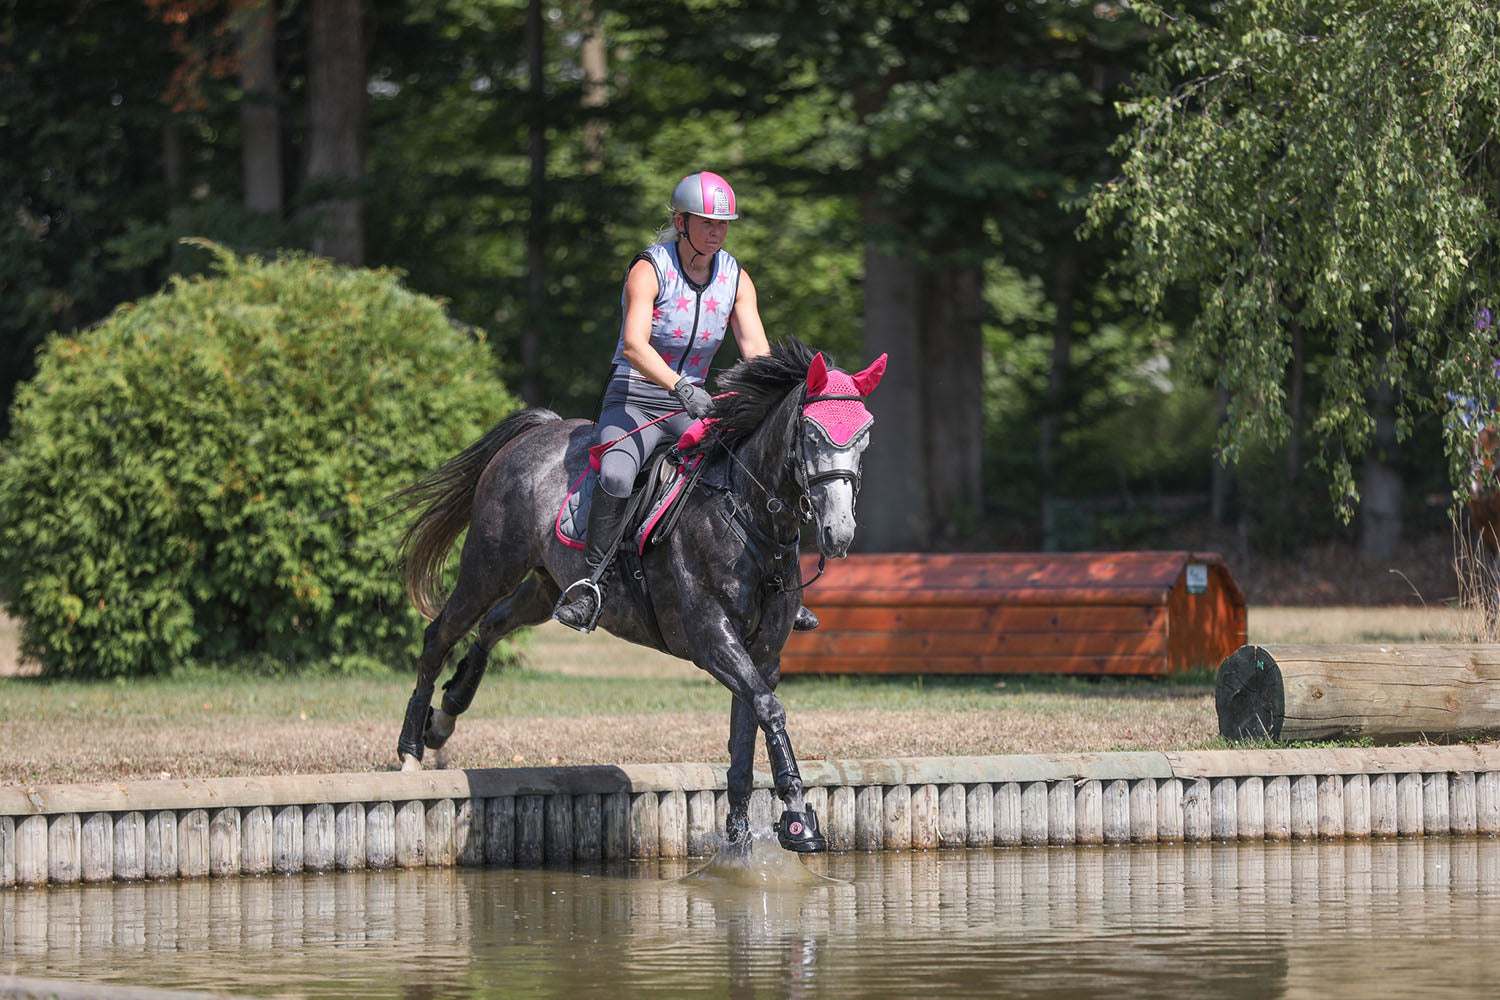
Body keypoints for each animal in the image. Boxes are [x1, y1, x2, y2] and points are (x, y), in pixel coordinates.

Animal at [387, 340, 882, 857]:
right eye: (811, 433)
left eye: (864, 437)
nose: (839, 533)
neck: (749, 514)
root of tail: (539, 430)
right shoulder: (712, 641)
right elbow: (769, 710)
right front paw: (797, 820)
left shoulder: (762, 655)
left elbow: (746, 740)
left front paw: (742, 838)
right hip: (489, 566)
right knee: (441, 633)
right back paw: (410, 749)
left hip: (544, 588)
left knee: (492, 626)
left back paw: (446, 715)